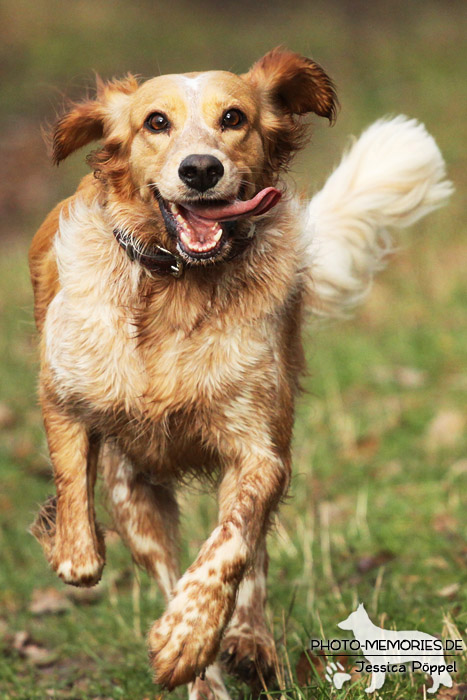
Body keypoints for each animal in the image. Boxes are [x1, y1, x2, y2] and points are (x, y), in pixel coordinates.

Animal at [29, 46, 454, 696]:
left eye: (233, 117)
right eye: (156, 122)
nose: (201, 169)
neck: (177, 285)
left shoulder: (260, 450)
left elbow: (230, 544)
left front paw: (189, 634)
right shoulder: (64, 392)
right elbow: (79, 523)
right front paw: (67, 539)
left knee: (250, 554)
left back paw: (247, 641)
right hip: (135, 493)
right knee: (163, 562)